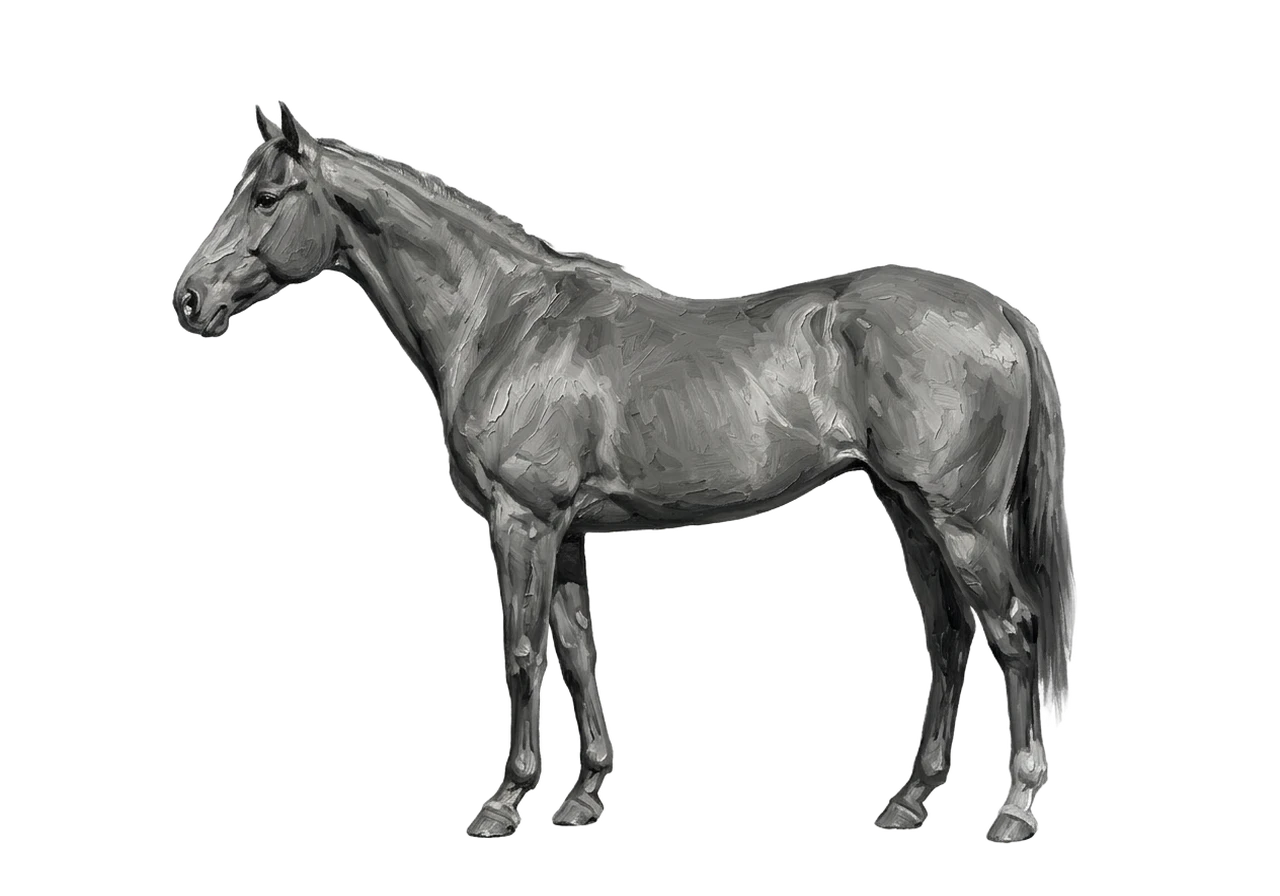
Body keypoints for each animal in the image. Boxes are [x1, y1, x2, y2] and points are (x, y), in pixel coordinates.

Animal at [172, 102, 1076, 842]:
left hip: (961, 521)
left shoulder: (523, 522)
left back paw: (1015, 810)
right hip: (909, 510)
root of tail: (997, 312)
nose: (188, 299)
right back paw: (909, 801)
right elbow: (576, 650)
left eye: (266, 197)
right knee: (952, 637)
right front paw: (582, 797)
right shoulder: (567, 532)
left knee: (1014, 634)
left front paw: (504, 802)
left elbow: (521, 653)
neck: (503, 321)